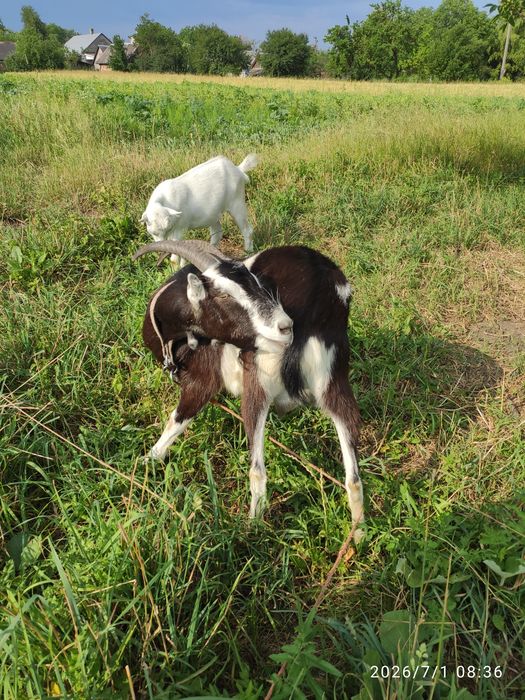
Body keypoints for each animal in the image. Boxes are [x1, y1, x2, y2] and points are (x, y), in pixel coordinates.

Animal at [134, 240, 364, 539]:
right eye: (224, 295)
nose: (285, 326)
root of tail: (320, 291)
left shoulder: (202, 380)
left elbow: (176, 420)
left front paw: (147, 461)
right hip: (334, 380)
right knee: (354, 478)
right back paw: (359, 536)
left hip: (259, 378)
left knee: (258, 471)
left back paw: (251, 530)